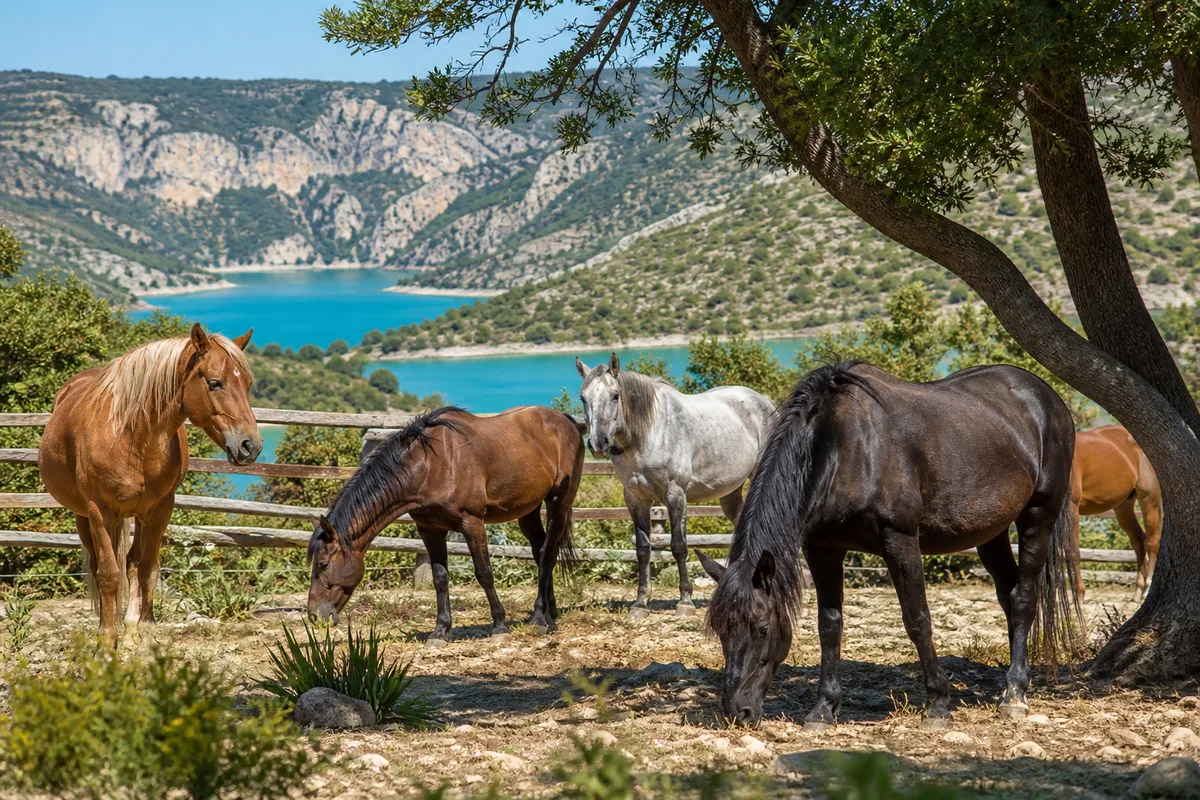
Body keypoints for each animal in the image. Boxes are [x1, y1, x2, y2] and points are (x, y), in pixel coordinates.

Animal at [38, 324, 260, 648]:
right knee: (98, 566)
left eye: (246, 384)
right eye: (215, 382)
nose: (250, 446)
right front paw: (106, 643)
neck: (132, 436)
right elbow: (108, 575)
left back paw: (129, 627)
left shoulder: (160, 509)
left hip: (138, 515)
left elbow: (147, 570)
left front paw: (145, 635)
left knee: (132, 562)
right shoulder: (100, 512)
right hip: (84, 516)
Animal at [307, 405, 584, 647]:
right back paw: (551, 615)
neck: (429, 466)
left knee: (548, 554)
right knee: (539, 552)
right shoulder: (430, 530)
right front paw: (440, 631)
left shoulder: (472, 524)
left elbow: (484, 573)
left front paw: (499, 626)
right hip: (528, 510)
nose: (313, 615)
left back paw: (539, 618)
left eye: (323, 564)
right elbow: (440, 578)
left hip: (559, 503)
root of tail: (566, 421)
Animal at [575, 353, 775, 618]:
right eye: (583, 397)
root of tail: (764, 401)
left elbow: (679, 546)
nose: (598, 443)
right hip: (731, 492)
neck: (647, 435)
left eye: (615, 395)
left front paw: (685, 603)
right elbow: (643, 549)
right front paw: (640, 603)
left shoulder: (675, 495)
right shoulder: (636, 499)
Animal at [698, 362, 1080, 730]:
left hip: (1038, 518)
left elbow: (917, 619)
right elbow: (829, 625)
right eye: (720, 630)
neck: (842, 449)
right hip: (990, 533)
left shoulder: (900, 542)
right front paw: (822, 710)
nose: (738, 712)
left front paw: (937, 704)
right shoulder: (822, 549)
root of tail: (1047, 397)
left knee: (1023, 598)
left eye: (762, 628)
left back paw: (1014, 694)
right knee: (1007, 595)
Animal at [1071, 425, 1162, 602]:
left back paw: (1147, 589)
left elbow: (1073, 551)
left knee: (1152, 541)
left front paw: (1078, 597)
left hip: (1150, 500)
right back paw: (1138, 591)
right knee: (1138, 540)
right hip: (1123, 506)